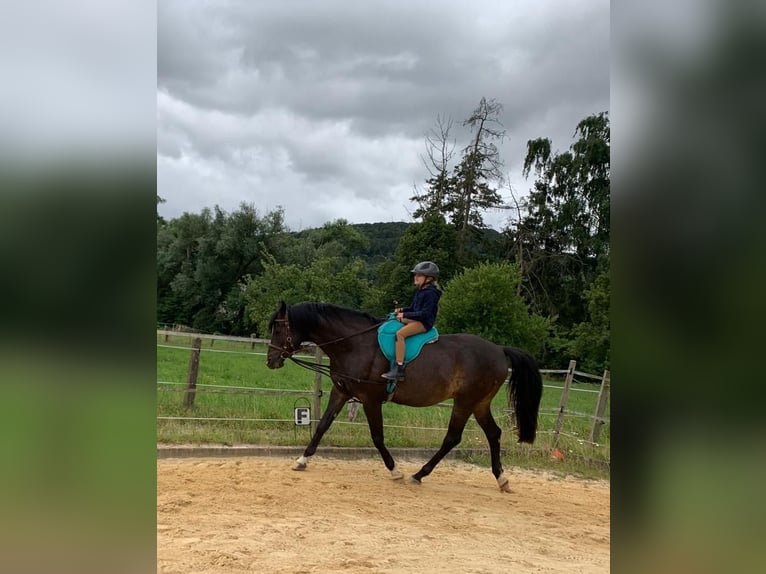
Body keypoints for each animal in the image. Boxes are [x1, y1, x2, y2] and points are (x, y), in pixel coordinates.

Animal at [266, 301, 543, 492]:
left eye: (278, 331)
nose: (271, 361)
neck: (355, 345)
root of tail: (499, 350)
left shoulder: (370, 400)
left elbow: (377, 437)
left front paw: (395, 471)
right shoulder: (341, 391)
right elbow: (322, 425)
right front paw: (302, 460)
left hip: (465, 402)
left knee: (452, 438)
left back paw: (418, 474)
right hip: (479, 403)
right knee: (493, 434)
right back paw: (502, 478)